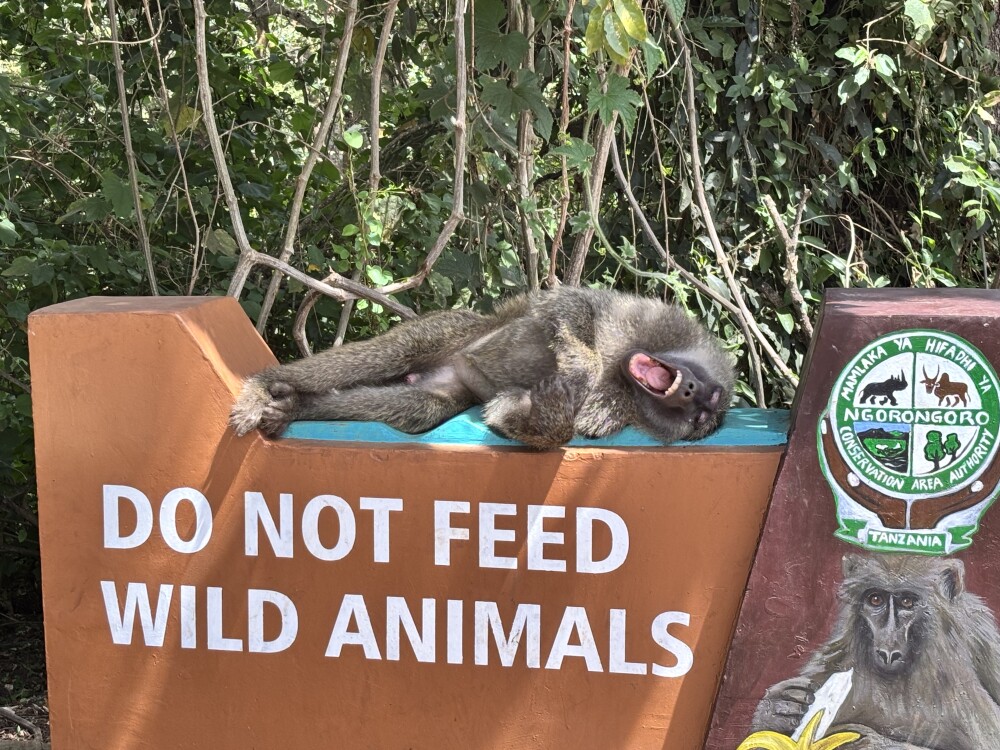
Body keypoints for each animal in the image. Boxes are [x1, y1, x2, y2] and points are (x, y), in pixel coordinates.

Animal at [229, 286, 734, 449]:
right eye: (707, 399)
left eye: (701, 418)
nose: (689, 390)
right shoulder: (644, 317)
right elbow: (569, 306)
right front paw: (580, 365)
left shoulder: (616, 415)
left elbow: (523, 420)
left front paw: (540, 414)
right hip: (448, 329)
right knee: (392, 353)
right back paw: (263, 387)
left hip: (446, 385)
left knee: (417, 406)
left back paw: (294, 407)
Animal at [751, 553, 1000, 750]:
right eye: (876, 599)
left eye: (907, 602)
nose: (887, 652)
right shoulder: (840, 656)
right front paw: (775, 710)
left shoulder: (980, 634)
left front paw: (877, 743)